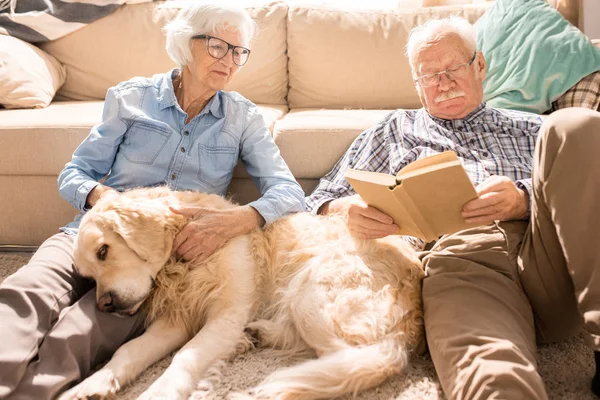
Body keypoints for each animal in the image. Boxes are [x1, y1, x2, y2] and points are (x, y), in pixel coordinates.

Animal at [56, 188, 422, 400]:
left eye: (104, 251)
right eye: (88, 276)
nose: (106, 305)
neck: (180, 266)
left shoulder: (227, 315)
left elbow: (185, 356)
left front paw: (158, 391)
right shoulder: (176, 320)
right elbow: (128, 351)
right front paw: (92, 383)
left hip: (313, 288)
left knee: (348, 360)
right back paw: (259, 334)